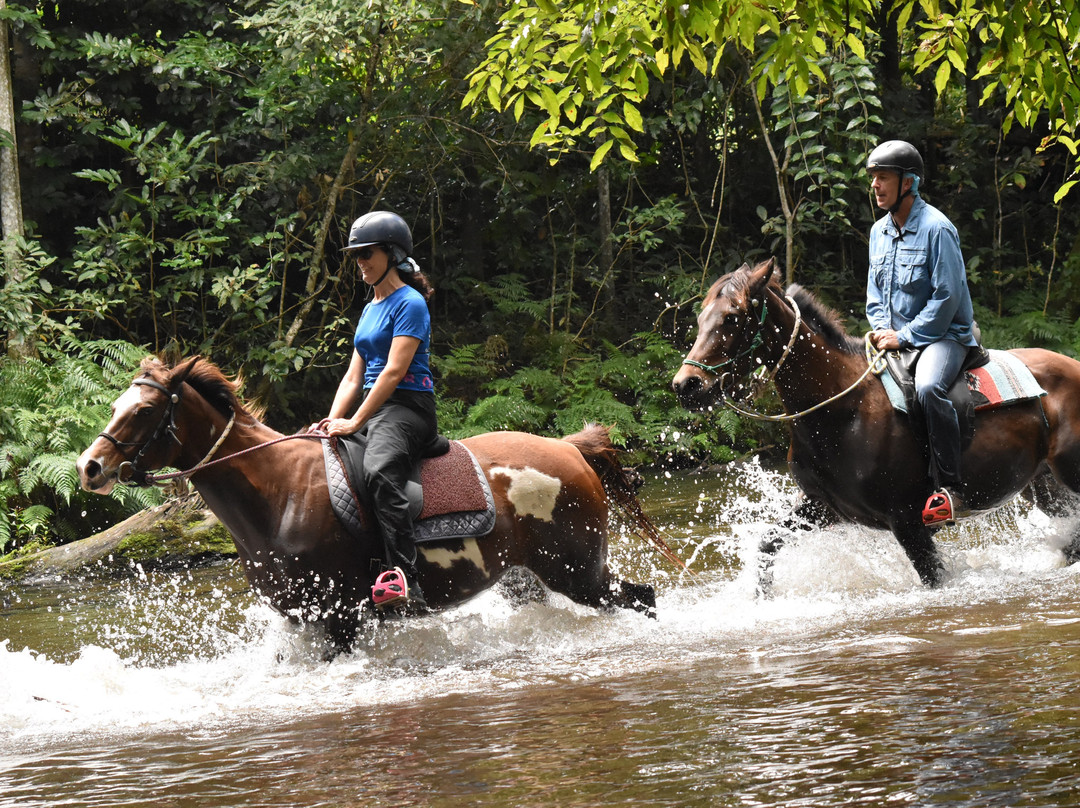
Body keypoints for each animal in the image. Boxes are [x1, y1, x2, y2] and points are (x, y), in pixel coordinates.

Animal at [76, 356, 660, 652]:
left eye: (144, 410)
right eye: (118, 403)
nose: (90, 467)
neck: (277, 494)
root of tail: (569, 449)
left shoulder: (339, 618)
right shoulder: (301, 619)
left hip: (579, 572)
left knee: (644, 597)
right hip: (528, 580)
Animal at [669, 259, 1080, 587]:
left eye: (731, 317)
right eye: (701, 317)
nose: (686, 385)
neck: (841, 410)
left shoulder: (908, 521)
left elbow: (933, 577)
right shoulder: (823, 507)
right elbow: (768, 545)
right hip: (1043, 486)